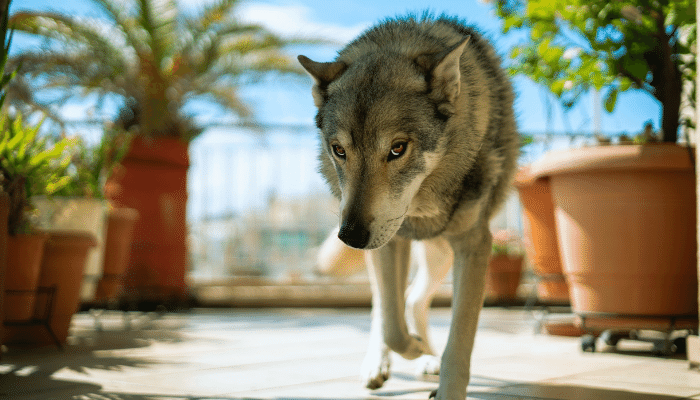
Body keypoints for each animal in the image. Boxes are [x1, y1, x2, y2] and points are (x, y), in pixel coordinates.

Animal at [298, 13, 516, 400]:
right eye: (339, 150)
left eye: (397, 148)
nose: (350, 236)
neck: (420, 209)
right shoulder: (388, 243)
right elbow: (392, 326)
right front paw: (411, 348)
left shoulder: (474, 246)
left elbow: (459, 341)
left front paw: (444, 384)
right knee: (389, 306)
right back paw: (387, 361)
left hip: (441, 256)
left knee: (413, 299)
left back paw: (427, 357)